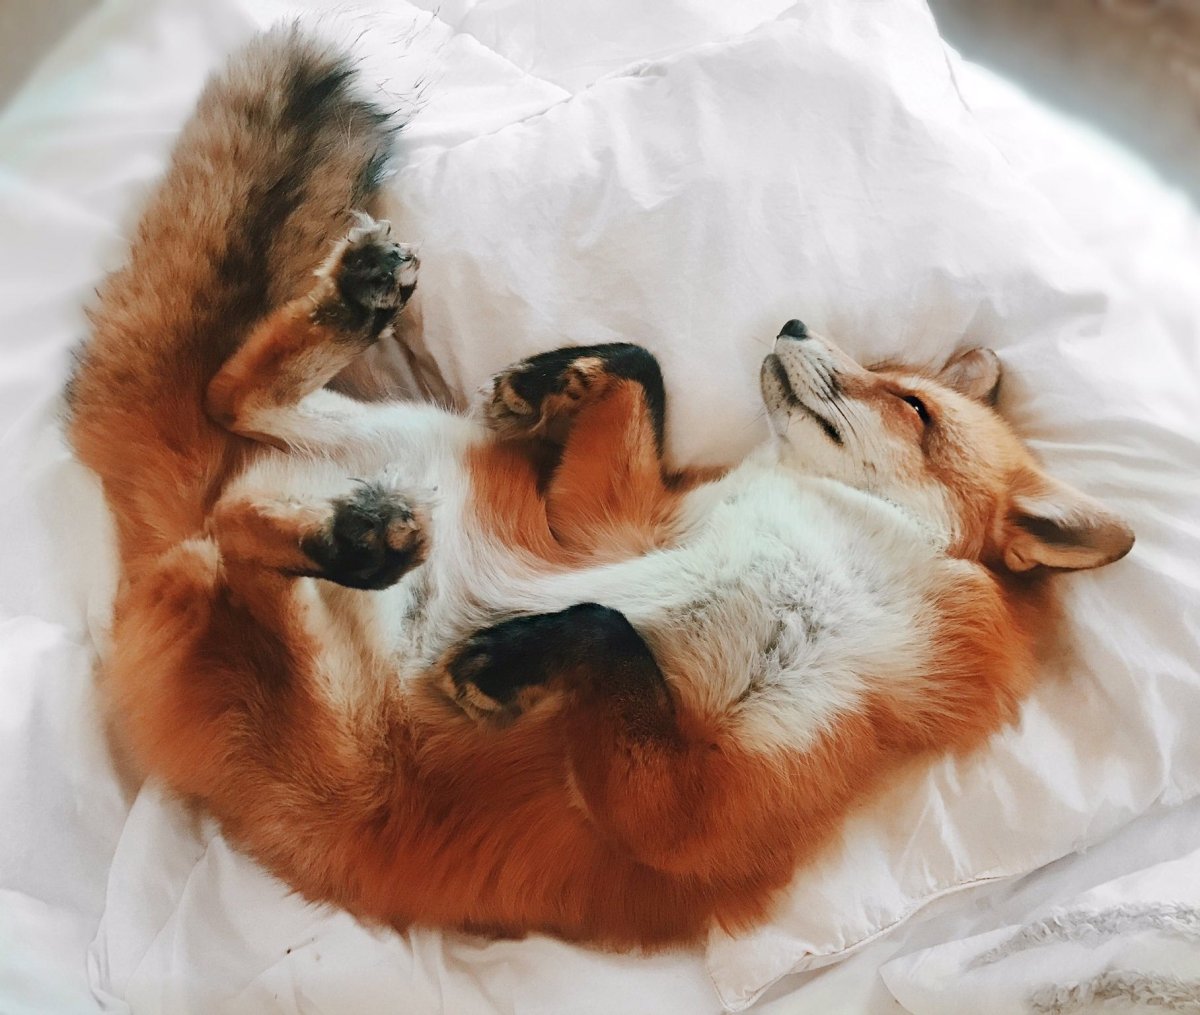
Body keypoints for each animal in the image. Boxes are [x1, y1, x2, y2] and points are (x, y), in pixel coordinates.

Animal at [66, 26, 1134, 949]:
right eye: (883, 368)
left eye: (911, 405)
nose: (792, 325)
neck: (825, 537)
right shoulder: (610, 526)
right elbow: (643, 371)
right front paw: (556, 378)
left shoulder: (701, 811)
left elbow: (612, 633)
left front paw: (512, 659)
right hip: (417, 451)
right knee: (231, 403)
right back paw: (357, 323)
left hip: (323, 688)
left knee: (235, 528)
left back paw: (349, 537)